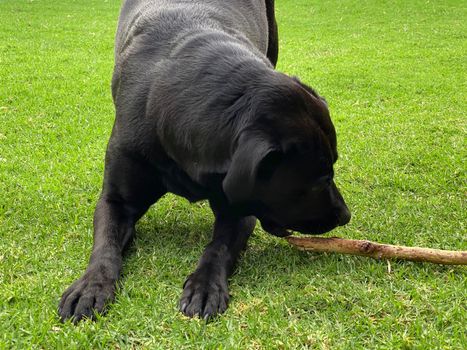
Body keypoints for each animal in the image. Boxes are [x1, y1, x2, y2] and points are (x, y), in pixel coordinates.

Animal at [59, 0, 352, 322]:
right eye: (320, 180)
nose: (345, 215)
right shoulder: (116, 198)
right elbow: (105, 244)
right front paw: (91, 286)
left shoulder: (241, 208)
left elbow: (218, 246)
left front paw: (205, 285)